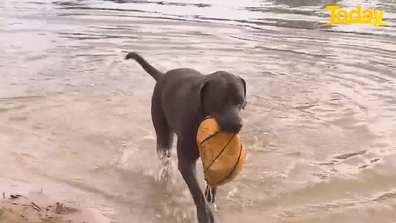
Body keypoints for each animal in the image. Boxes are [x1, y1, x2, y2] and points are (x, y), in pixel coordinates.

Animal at [125, 52, 246, 223]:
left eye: (240, 102)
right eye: (220, 101)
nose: (238, 125)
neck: (201, 116)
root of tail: (162, 75)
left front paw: (211, 199)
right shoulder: (186, 160)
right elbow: (196, 190)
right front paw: (204, 214)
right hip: (163, 132)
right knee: (165, 154)